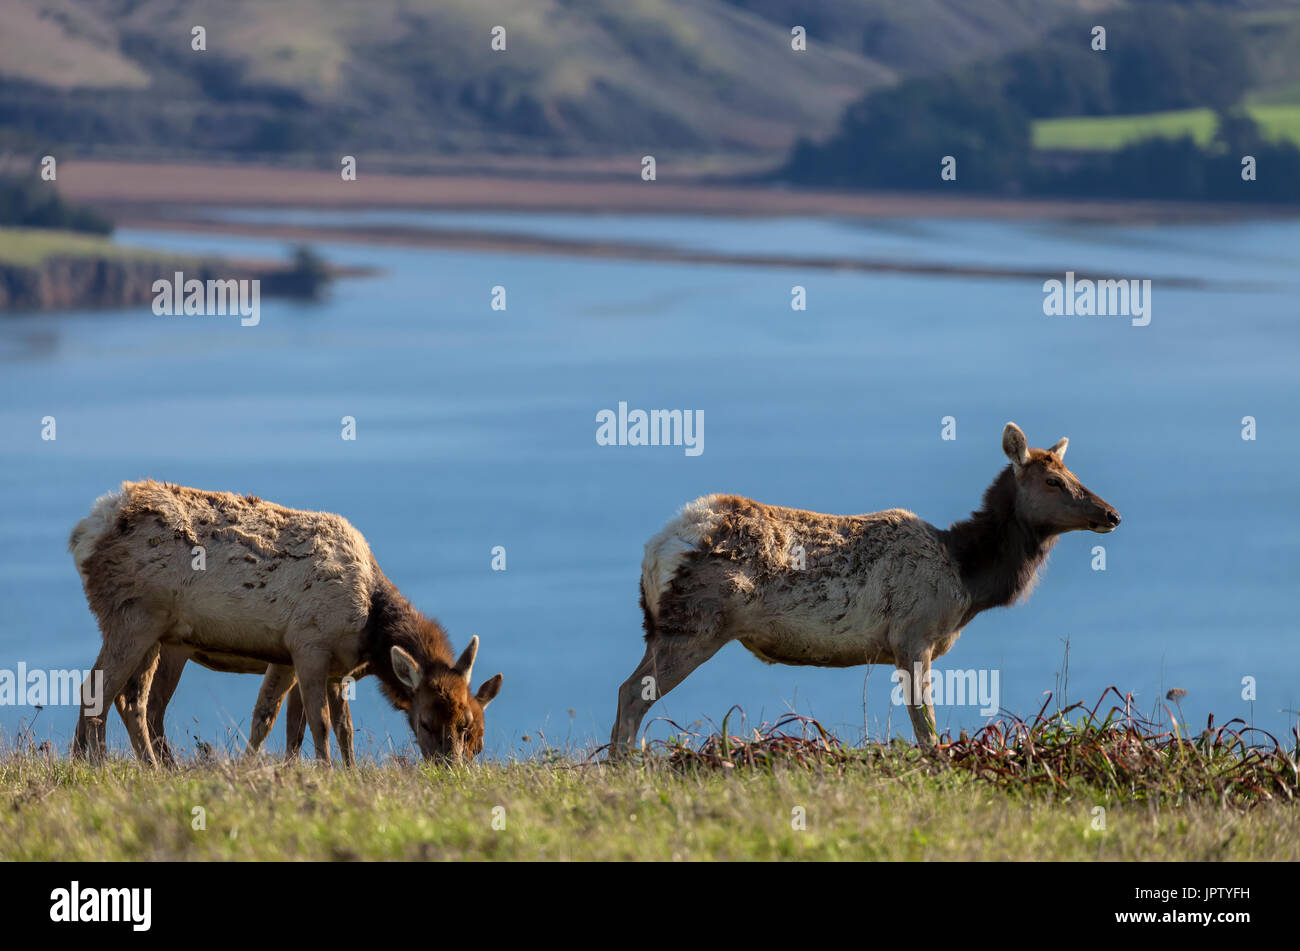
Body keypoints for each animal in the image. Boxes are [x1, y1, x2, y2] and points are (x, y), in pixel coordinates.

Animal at [69, 483, 501, 763]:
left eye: (471, 728)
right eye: (425, 722)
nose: (450, 769)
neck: (371, 631)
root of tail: (88, 530)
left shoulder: (309, 662)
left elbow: (307, 725)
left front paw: (336, 773)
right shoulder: (309, 644)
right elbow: (319, 723)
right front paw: (326, 774)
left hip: (160, 634)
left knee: (132, 700)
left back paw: (141, 767)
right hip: (134, 618)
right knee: (100, 691)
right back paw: (99, 765)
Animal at [608, 426, 1118, 753]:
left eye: (1075, 475)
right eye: (1053, 480)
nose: (1111, 513)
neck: (968, 579)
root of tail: (658, 547)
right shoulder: (912, 633)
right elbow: (926, 727)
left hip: (660, 626)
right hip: (699, 621)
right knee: (632, 692)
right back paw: (628, 768)